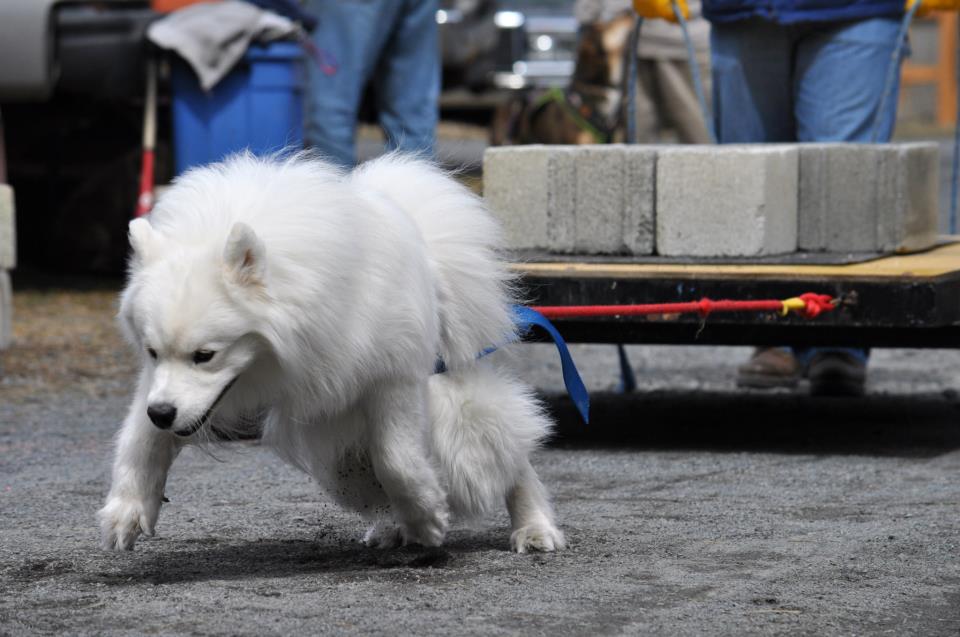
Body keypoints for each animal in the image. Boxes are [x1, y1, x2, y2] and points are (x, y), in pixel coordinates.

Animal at [97, 153, 564, 552]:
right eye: (152, 351)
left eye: (205, 355)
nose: (162, 413)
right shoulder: (162, 388)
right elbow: (140, 441)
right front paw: (127, 510)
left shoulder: (392, 379)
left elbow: (396, 459)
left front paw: (427, 517)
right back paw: (391, 528)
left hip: (454, 410)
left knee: (506, 454)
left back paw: (534, 528)